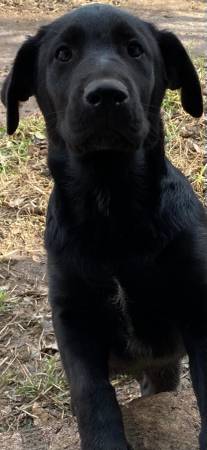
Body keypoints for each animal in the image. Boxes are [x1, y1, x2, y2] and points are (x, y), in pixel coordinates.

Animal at [0, 4, 206, 450]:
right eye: (62, 54)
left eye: (135, 50)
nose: (107, 95)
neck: (111, 205)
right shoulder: (73, 320)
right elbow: (91, 396)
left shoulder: (198, 302)